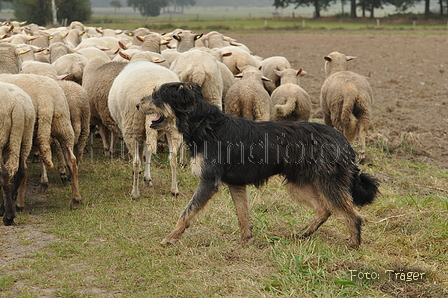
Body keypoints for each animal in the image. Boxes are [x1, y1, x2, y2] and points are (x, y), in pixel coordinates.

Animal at [108, 59, 182, 199]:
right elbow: (147, 154)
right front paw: (147, 178)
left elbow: (143, 156)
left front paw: (144, 177)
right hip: (173, 128)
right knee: (173, 157)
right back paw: (174, 189)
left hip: (131, 127)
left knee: (136, 162)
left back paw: (135, 193)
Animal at [136, 81, 378, 249]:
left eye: (156, 95)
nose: (137, 104)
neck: (203, 125)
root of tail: (343, 141)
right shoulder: (236, 184)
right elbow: (243, 215)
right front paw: (245, 240)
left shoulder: (208, 182)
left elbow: (186, 213)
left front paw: (170, 238)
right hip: (299, 183)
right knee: (324, 209)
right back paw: (303, 234)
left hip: (329, 183)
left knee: (353, 215)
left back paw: (353, 245)